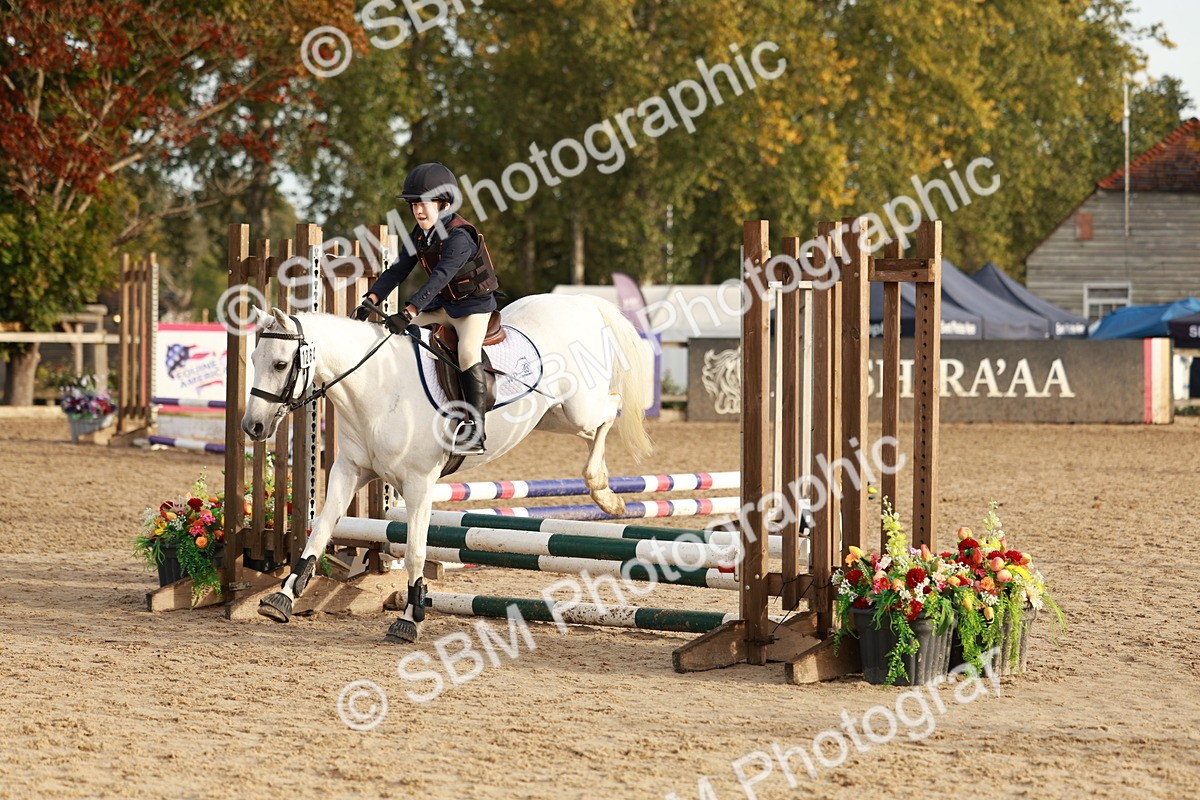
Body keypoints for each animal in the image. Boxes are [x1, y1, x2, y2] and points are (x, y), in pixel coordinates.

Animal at [240, 293, 653, 643]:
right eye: (253, 361)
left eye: (280, 364)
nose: (253, 427)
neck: (377, 388)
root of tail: (579, 300)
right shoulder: (350, 471)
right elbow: (320, 532)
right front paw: (281, 598)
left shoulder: (419, 484)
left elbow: (414, 553)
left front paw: (409, 619)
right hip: (554, 416)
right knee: (594, 428)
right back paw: (605, 493)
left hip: (578, 406)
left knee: (611, 408)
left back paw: (603, 492)